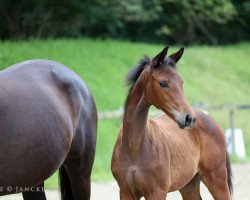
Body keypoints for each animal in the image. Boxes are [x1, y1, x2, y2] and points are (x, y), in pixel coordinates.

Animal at [111, 47, 232, 200]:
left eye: (181, 82)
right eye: (163, 83)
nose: (189, 118)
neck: (134, 147)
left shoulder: (157, 192)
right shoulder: (126, 192)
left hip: (217, 179)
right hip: (189, 185)